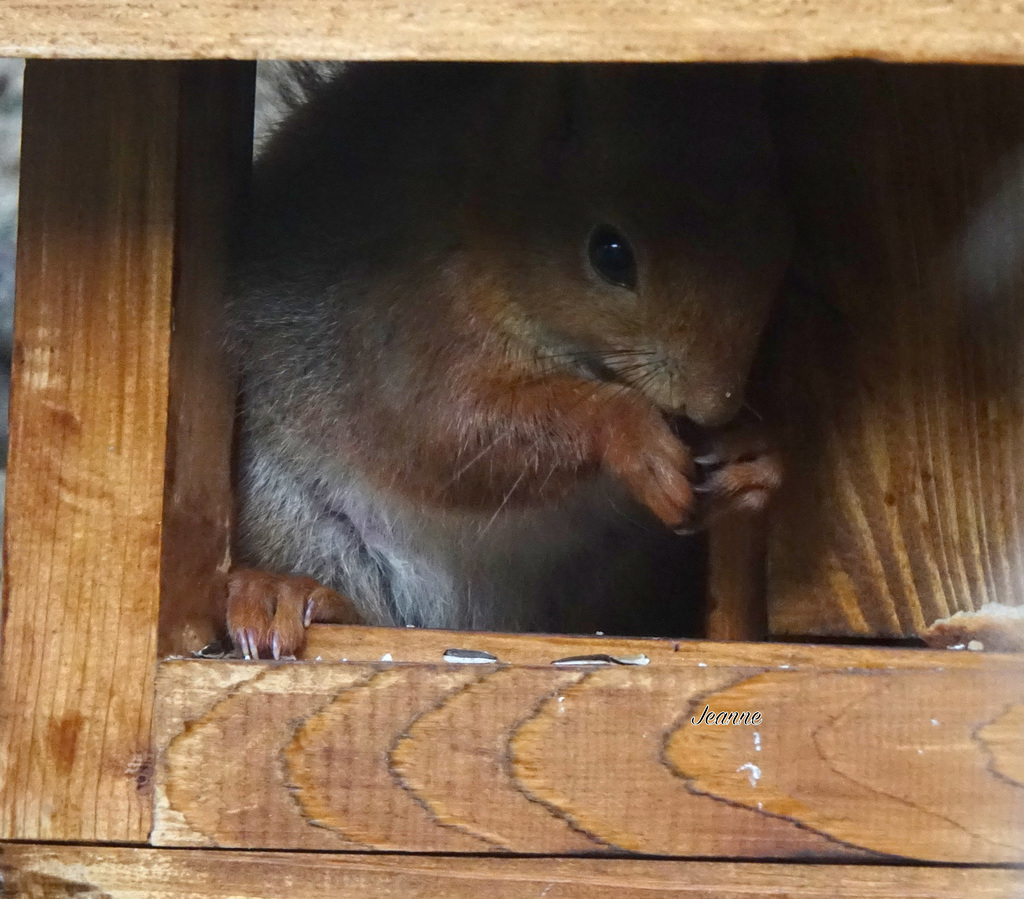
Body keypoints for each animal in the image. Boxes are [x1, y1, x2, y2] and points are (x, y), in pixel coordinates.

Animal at [226, 59, 790, 659]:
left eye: (781, 242)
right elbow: (445, 427)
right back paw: (288, 595)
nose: (711, 405)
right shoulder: (408, 318)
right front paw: (630, 433)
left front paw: (754, 456)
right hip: (291, 515)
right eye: (609, 254)